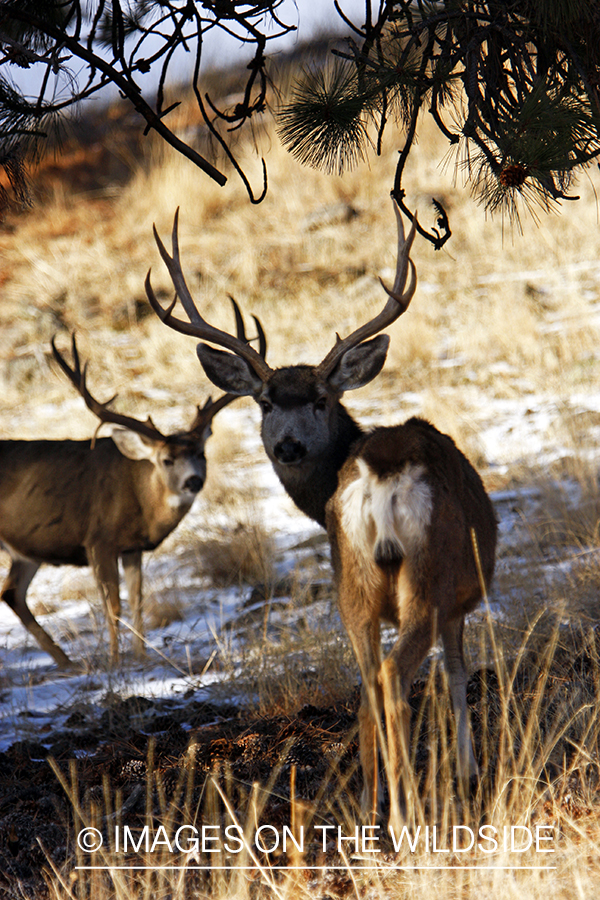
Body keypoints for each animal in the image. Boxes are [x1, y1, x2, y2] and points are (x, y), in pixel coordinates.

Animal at [0, 327, 257, 668]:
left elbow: (137, 599)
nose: (193, 480)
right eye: (166, 460)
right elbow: (113, 605)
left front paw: (140, 655)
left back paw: (67, 663)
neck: (140, 500)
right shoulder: (97, 540)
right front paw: (115, 661)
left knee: (12, 592)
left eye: (201, 454)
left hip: (26, 551)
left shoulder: (131, 547)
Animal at [145, 200, 497, 832]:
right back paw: (405, 815)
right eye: (263, 402)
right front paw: (466, 772)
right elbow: (456, 676)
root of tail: (379, 475)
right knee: (393, 678)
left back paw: (374, 810)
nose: (287, 446)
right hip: (428, 576)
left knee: (368, 684)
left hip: (350, 582)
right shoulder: (461, 596)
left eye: (320, 399)